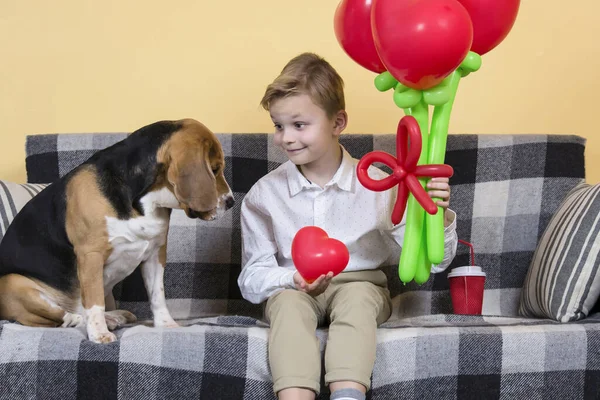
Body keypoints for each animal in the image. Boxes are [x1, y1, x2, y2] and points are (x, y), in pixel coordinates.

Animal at [0, 119, 233, 344]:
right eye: (214, 169)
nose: (231, 202)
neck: (143, 202)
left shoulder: (156, 253)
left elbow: (157, 295)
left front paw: (166, 324)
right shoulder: (91, 256)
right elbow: (94, 303)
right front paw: (99, 334)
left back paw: (113, 317)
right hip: (13, 282)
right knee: (63, 317)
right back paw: (95, 320)